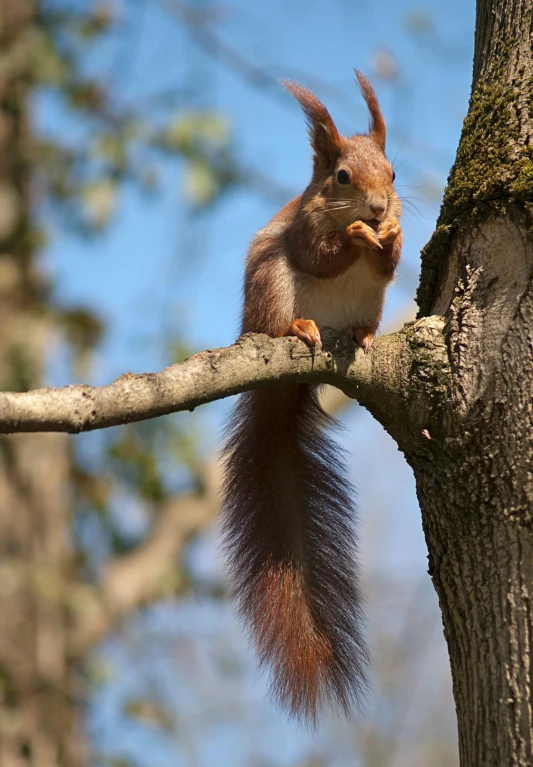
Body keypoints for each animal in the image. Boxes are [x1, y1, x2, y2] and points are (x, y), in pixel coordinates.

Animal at [219, 72, 400, 728]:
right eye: (341, 177)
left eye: (393, 173)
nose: (379, 209)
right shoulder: (299, 234)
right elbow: (320, 255)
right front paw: (353, 237)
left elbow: (388, 267)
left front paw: (391, 239)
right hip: (271, 288)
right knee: (282, 315)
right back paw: (298, 329)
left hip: (368, 305)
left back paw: (363, 335)